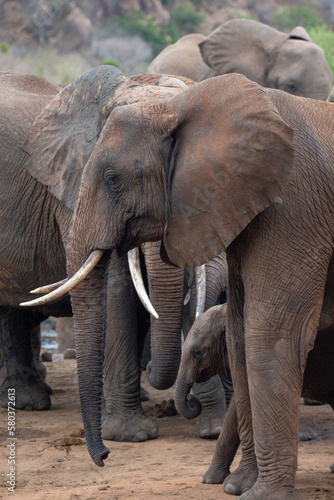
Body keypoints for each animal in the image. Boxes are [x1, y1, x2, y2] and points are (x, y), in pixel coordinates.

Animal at [28, 71, 334, 500]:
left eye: (113, 179)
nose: (104, 456)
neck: (181, 104)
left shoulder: (294, 208)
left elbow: (271, 336)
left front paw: (262, 496)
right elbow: (239, 336)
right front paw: (238, 486)